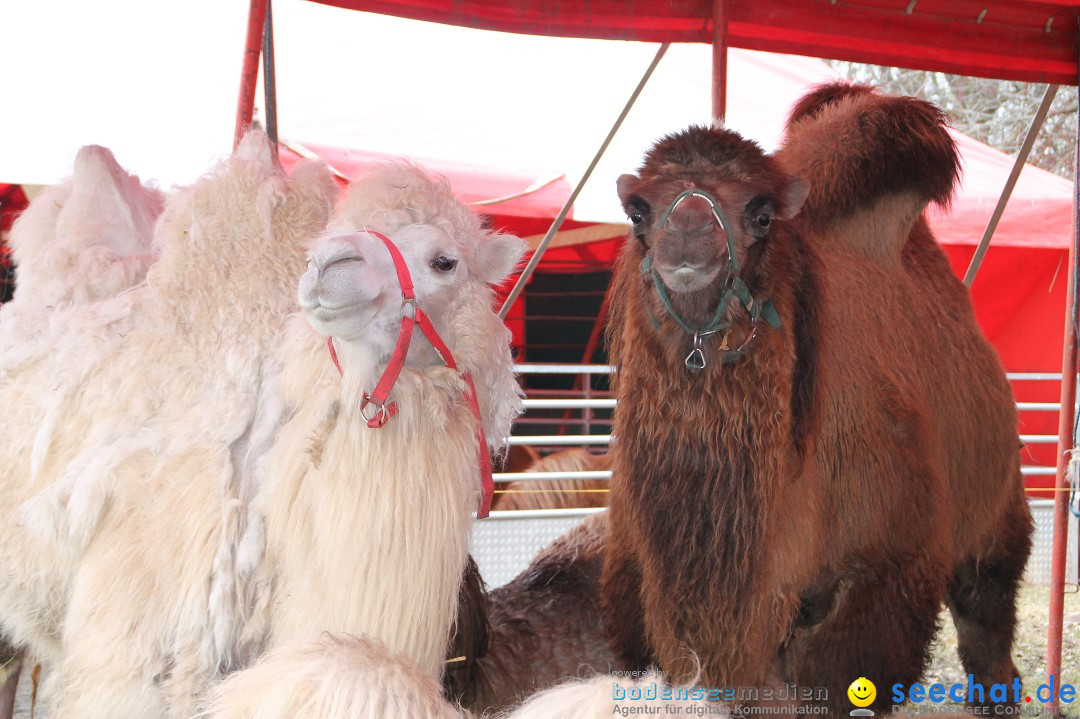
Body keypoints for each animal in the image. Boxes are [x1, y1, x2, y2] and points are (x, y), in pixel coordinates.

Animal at [604, 82, 1032, 712]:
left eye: (760, 213)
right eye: (638, 211)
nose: (687, 236)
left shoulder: (881, 579)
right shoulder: (638, 593)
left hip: (998, 511)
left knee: (989, 617)